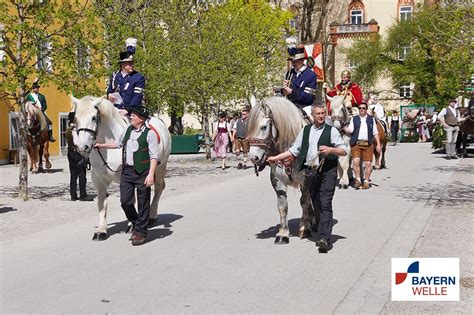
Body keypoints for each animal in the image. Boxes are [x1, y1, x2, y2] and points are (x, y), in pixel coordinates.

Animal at [71, 95, 171, 241]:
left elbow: (130, 200)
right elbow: (102, 203)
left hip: (160, 167)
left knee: (158, 187)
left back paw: (152, 216)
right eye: (76, 118)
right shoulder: (98, 180)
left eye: (94, 117)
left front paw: (132, 225)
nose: (82, 147)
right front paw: (101, 230)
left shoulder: (125, 178)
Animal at [246, 97, 312, 246]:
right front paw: (282, 234)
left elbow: (304, 202)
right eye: (249, 128)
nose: (253, 157)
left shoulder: (306, 179)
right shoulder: (278, 180)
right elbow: (282, 206)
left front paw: (304, 228)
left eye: (263, 127)